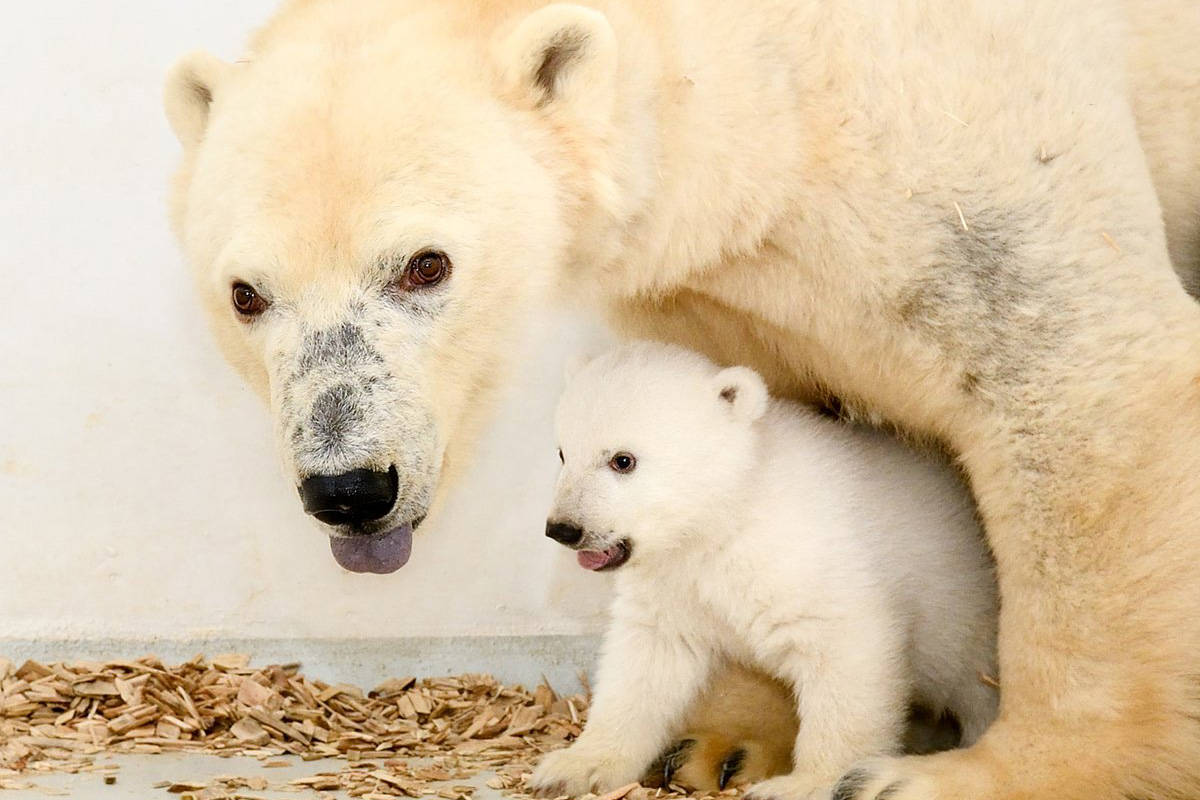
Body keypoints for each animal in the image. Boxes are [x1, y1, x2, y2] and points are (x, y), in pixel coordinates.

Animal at [166, 1, 1200, 800]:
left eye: (426, 264)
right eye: (246, 294)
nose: (349, 489)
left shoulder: (977, 160)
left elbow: (1081, 376)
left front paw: (960, 774)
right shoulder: (733, 282)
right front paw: (723, 743)